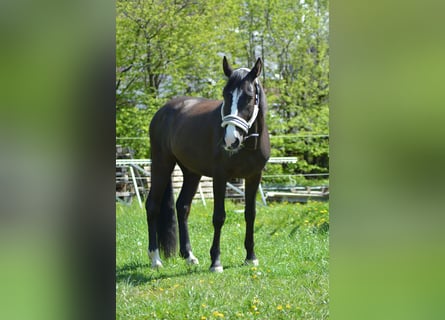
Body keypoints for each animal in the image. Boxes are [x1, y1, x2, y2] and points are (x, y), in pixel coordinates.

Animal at [147, 56, 268, 272]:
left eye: (248, 96)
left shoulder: (254, 177)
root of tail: (163, 110)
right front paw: (216, 262)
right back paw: (155, 259)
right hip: (162, 164)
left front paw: (250, 257)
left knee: (182, 207)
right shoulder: (220, 177)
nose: (230, 140)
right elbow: (219, 217)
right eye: (225, 94)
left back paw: (189, 256)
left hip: (191, 172)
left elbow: (250, 214)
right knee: (152, 206)